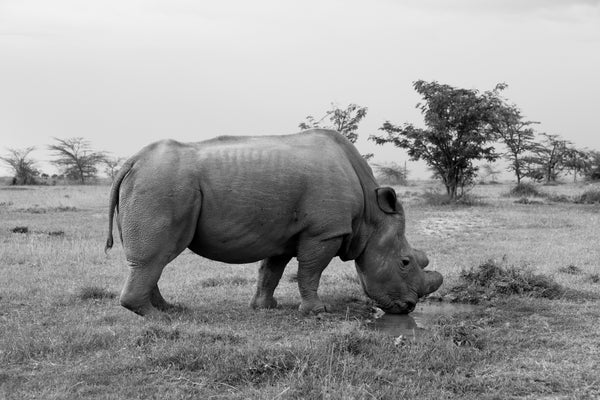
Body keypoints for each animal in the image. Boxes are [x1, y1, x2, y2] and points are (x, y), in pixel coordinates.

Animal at [104, 128, 440, 316]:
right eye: (405, 262)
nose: (409, 307)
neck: (372, 217)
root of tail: (132, 161)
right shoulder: (324, 232)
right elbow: (310, 271)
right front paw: (318, 311)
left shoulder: (284, 234)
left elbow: (271, 271)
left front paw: (265, 308)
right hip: (160, 184)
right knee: (155, 256)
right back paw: (158, 317)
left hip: (154, 183)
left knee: (156, 257)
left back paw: (168, 309)